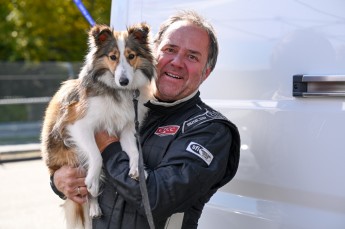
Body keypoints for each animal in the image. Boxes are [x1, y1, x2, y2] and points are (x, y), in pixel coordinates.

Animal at [41, 23, 157, 229]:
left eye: (131, 56)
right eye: (112, 57)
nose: (124, 81)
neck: (118, 91)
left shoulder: (126, 129)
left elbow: (134, 151)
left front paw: (138, 169)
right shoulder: (78, 125)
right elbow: (96, 155)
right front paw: (92, 181)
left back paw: (94, 208)